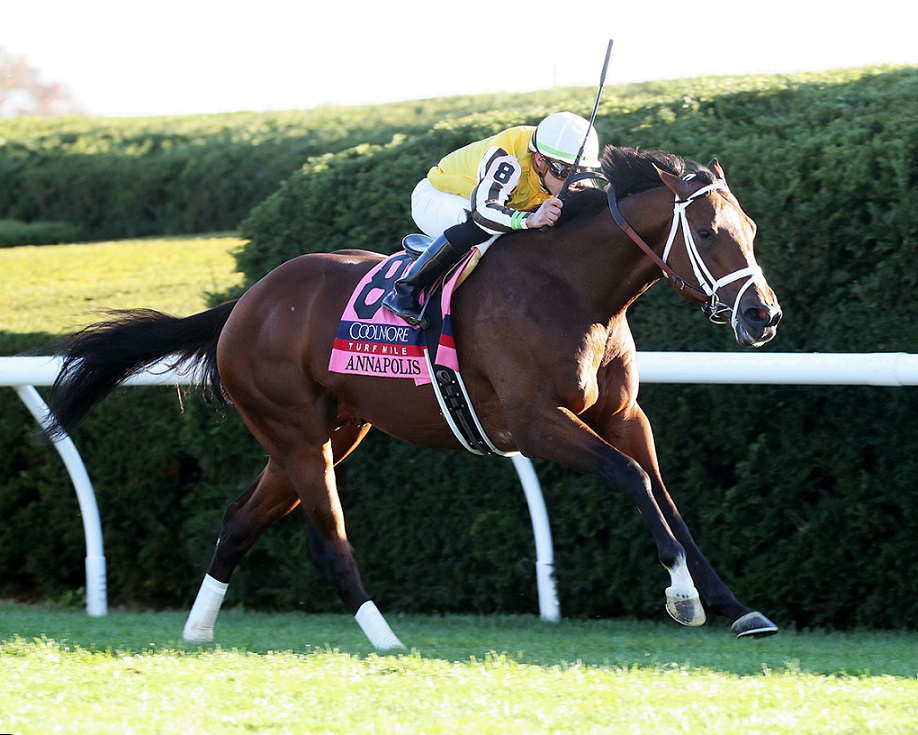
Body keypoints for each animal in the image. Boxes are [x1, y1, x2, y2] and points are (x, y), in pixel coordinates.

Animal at [45, 145, 783, 649]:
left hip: (329, 433)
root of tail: (246, 303)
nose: (764, 316)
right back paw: (386, 639)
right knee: (328, 542)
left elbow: (667, 501)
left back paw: (198, 631)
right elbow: (630, 479)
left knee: (238, 519)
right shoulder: (535, 422)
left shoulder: (624, 415)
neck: (571, 289)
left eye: (751, 229)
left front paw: (736, 605)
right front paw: (682, 597)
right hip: (298, 434)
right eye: (709, 234)